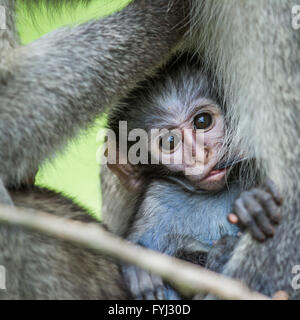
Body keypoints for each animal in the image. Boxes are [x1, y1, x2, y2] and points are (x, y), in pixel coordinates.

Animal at [104, 55, 282, 300]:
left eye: (202, 121)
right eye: (170, 141)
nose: (200, 154)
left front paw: (254, 203)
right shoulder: (156, 200)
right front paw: (138, 269)